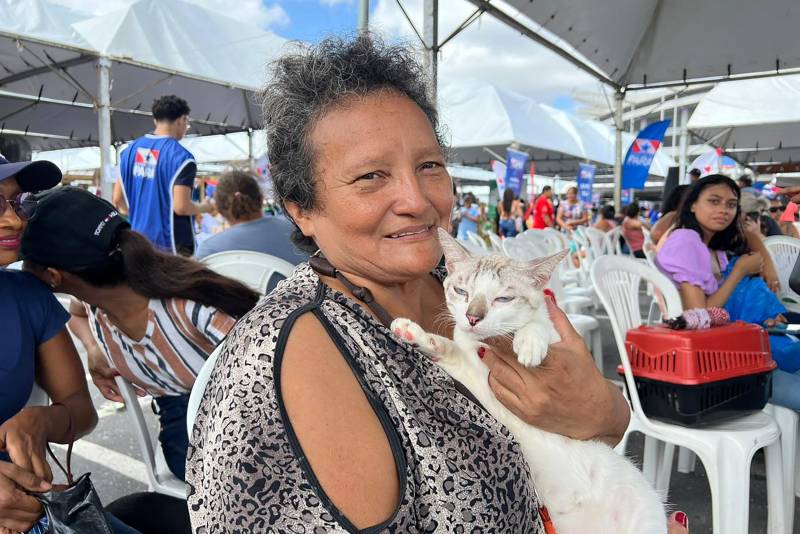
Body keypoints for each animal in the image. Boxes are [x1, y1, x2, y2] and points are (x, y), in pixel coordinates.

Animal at [390, 229, 664, 534]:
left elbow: (537, 323)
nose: (472, 317)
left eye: (503, 299)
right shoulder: (476, 379)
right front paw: (413, 333)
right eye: (462, 292)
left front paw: (529, 342)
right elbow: (450, 351)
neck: (486, 344)